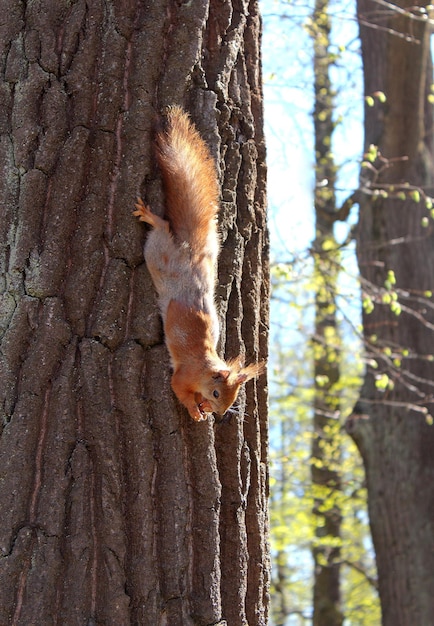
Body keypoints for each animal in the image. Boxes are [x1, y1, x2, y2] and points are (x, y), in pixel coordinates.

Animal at [134, 107, 262, 420]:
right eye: (217, 393)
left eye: (232, 397)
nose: (220, 412)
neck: (206, 366)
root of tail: (190, 252)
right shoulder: (183, 376)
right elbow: (179, 390)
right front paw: (195, 410)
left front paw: (201, 407)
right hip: (158, 252)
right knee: (162, 228)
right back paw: (149, 216)